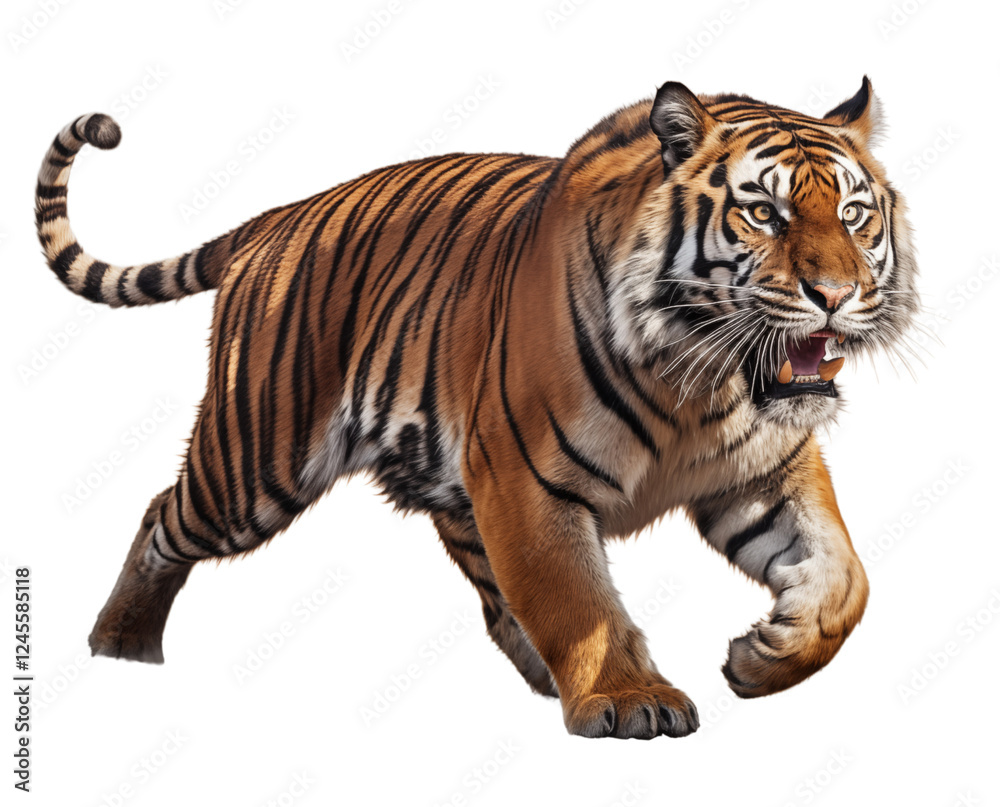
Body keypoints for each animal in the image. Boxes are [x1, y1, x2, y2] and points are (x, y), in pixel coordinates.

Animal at [35, 77, 918, 739]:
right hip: (255, 464)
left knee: (494, 594)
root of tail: (280, 217)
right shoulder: (528, 478)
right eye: (763, 212)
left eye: (853, 214)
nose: (836, 295)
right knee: (162, 514)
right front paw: (628, 697)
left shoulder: (764, 468)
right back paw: (122, 644)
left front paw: (767, 654)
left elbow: (846, 576)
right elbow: (573, 596)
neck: (703, 382)